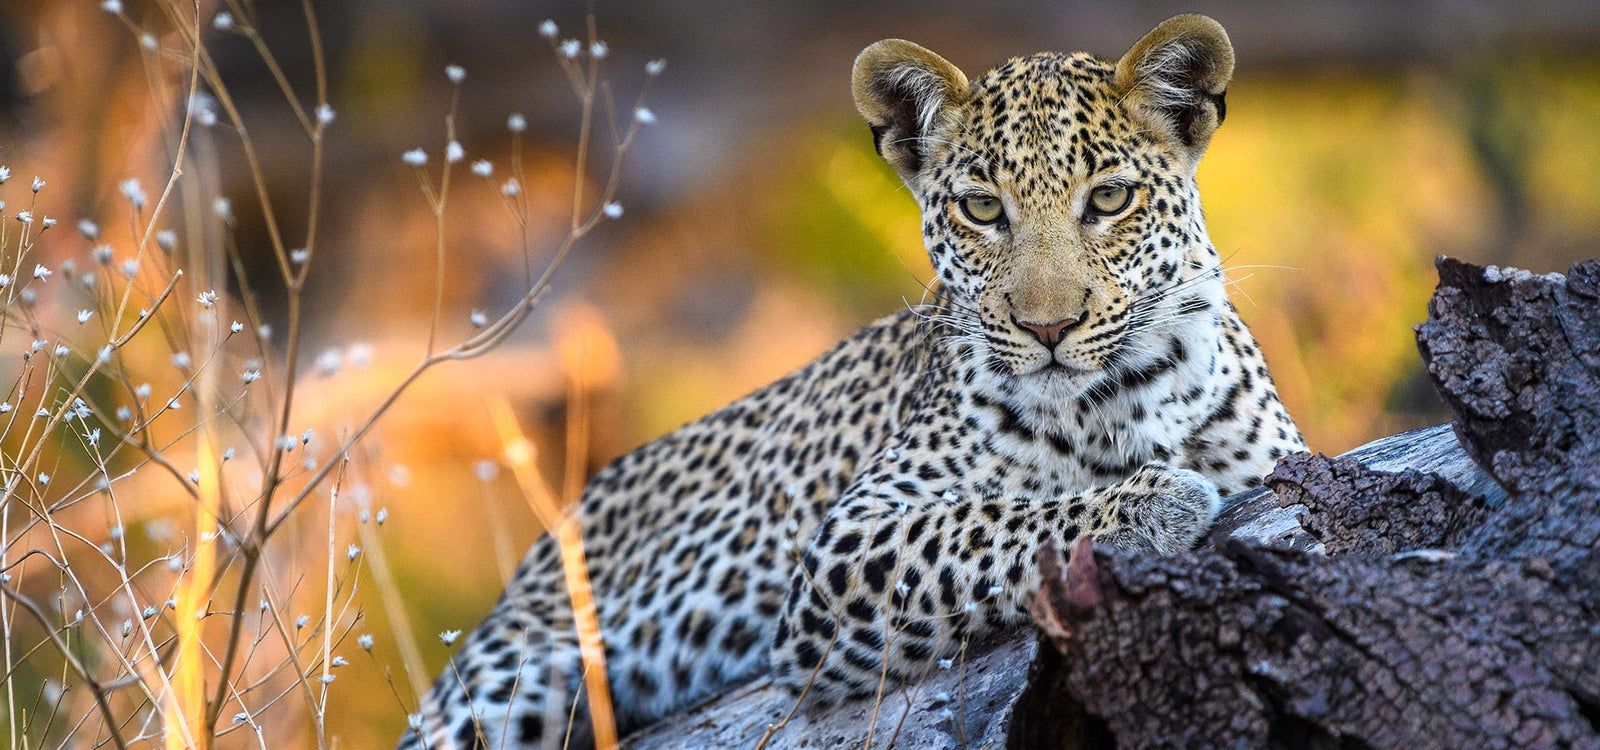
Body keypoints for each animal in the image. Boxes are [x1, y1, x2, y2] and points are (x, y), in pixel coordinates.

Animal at [399, 14, 1305, 749]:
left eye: (1110, 199)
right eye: (982, 210)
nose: (1047, 329)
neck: (1120, 402)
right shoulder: (845, 547)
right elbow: (989, 522)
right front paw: (1154, 501)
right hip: (505, 684)